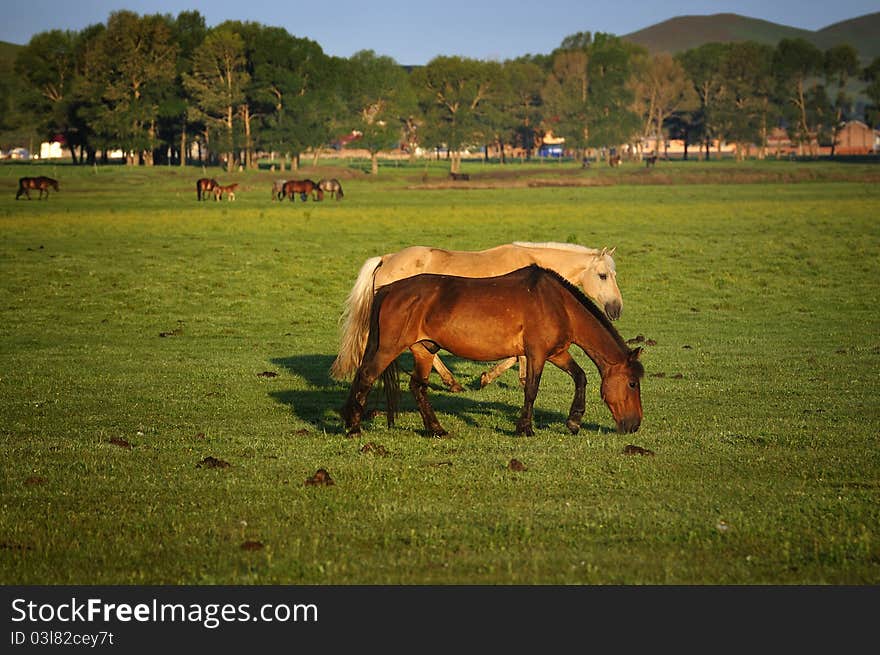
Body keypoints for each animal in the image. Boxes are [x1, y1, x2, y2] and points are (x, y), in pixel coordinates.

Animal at [340, 264, 644, 438]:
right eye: (632, 383)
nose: (634, 425)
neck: (558, 303)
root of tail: (389, 289)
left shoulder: (556, 353)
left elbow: (580, 377)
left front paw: (573, 421)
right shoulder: (536, 354)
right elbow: (531, 389)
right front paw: (524, 428)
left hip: (424, 349)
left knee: (418, 387)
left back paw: (436, 430)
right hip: (389, 348)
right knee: (366, 376)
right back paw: (354, 428)